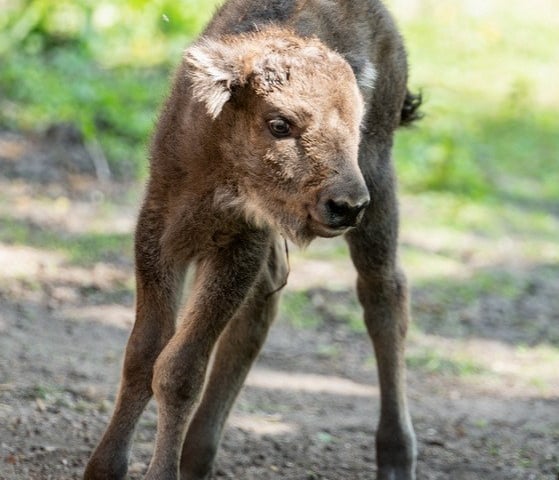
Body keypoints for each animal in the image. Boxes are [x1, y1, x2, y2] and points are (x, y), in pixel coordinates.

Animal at [85, 0, 422, 480]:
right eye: (280, 123)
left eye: (356, 125)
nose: (346, 205)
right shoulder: (159, 234)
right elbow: (143, 354)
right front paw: (105, 468)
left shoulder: (238, 248)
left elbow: (179, 371)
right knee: (259, 314)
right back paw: (198, 454)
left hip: (378, 188)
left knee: (383, 294)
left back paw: (395, 456)